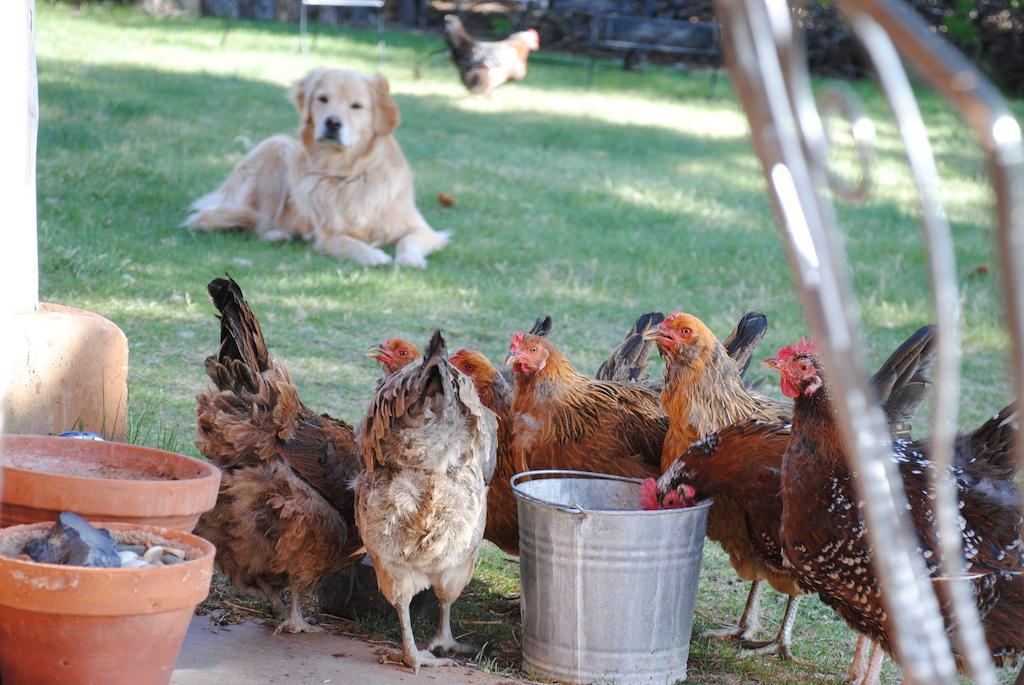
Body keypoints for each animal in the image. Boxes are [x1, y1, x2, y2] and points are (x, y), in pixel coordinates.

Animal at [186, 68, 450, 266]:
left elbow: (408, 240)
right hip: (277, 147)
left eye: (356, 106)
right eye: (323, 99)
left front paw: (409, 260)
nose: (332, 122)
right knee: (257, 223)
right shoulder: (328, 237)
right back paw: (277, 234)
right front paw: (374, 255)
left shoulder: (423, 229)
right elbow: (349, 243)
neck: (346, 174)